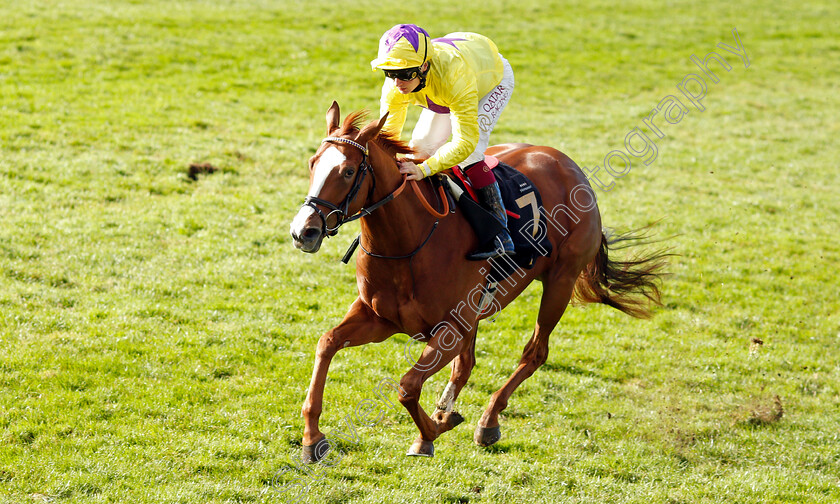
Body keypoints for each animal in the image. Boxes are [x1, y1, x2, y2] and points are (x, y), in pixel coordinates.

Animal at [290, 102, 668, 460]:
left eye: (348, 171)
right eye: (312, 163)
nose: (303, 231)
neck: (409, 242)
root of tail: (567, 163)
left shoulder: (451, 328)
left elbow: (408, 385)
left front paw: (431, 433)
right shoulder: (380, 318)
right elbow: (327, 343)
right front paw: (313, 438)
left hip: (560, 281)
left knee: (535, 352)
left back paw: (488, 421)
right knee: (467, 365)